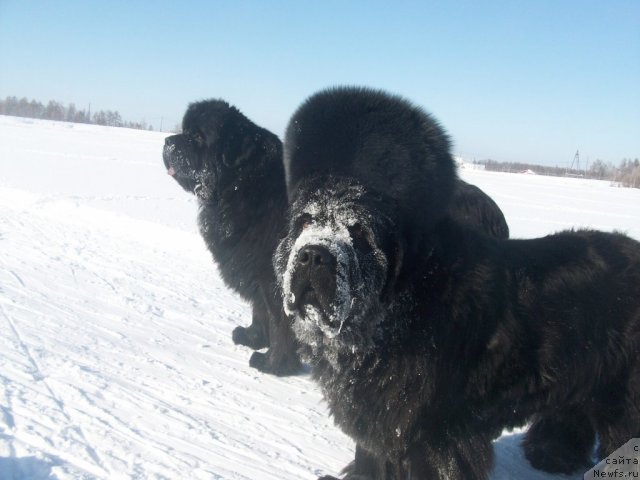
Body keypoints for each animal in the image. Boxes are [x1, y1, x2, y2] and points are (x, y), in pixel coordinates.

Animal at [164, 98, 510, 376]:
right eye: (184, 130)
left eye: (197, 137)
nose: (168, 141)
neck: (244, 185)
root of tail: (492, 212)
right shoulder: (257, 273)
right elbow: (259, 312)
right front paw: (251, 338)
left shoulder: (279, 278)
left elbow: (279, 322)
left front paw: (274, 364)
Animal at [276, 87, 640, 480]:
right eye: (305, 220)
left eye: (360, 231)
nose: (314, 255)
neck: (399, 307)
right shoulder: (380, 424)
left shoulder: (433, 435)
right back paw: (551, 456)